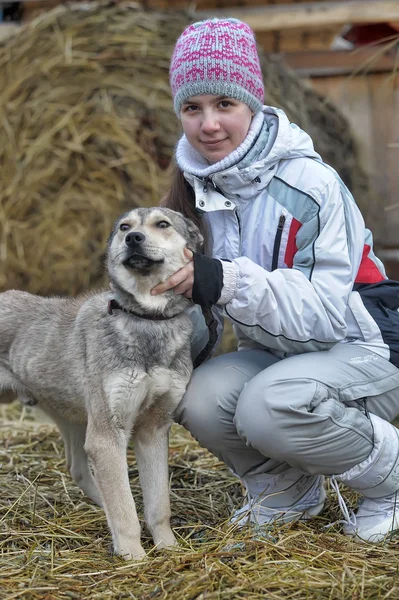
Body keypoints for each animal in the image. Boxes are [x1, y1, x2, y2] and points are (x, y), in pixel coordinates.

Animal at [0, 206, 205, 556]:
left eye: (162, 224)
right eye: (124, 227)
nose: (133, 238)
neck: (147, 321)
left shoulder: (152, 430)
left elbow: (157, 506)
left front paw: (168, 549)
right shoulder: (108, 434)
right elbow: (126, 512)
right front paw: (134, 557)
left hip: (75, 419)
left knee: (79, 470)